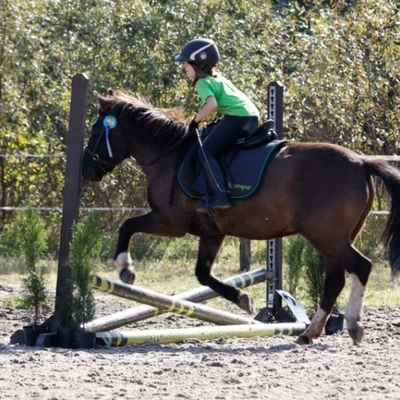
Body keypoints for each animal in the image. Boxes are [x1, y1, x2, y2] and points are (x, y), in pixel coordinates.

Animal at [82, 90, 400, 344]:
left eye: (97, 130)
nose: (87, 169)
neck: (170, 155)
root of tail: (361, 163)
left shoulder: (170, 222)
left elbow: (127, 226)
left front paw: (125, 268)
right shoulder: (212, 232)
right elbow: (203, 274)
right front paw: (243, 299)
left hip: (327, 237)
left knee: (361, 267)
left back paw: (352, 325)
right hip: (334, 239)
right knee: (334, 281)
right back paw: (309, 332)